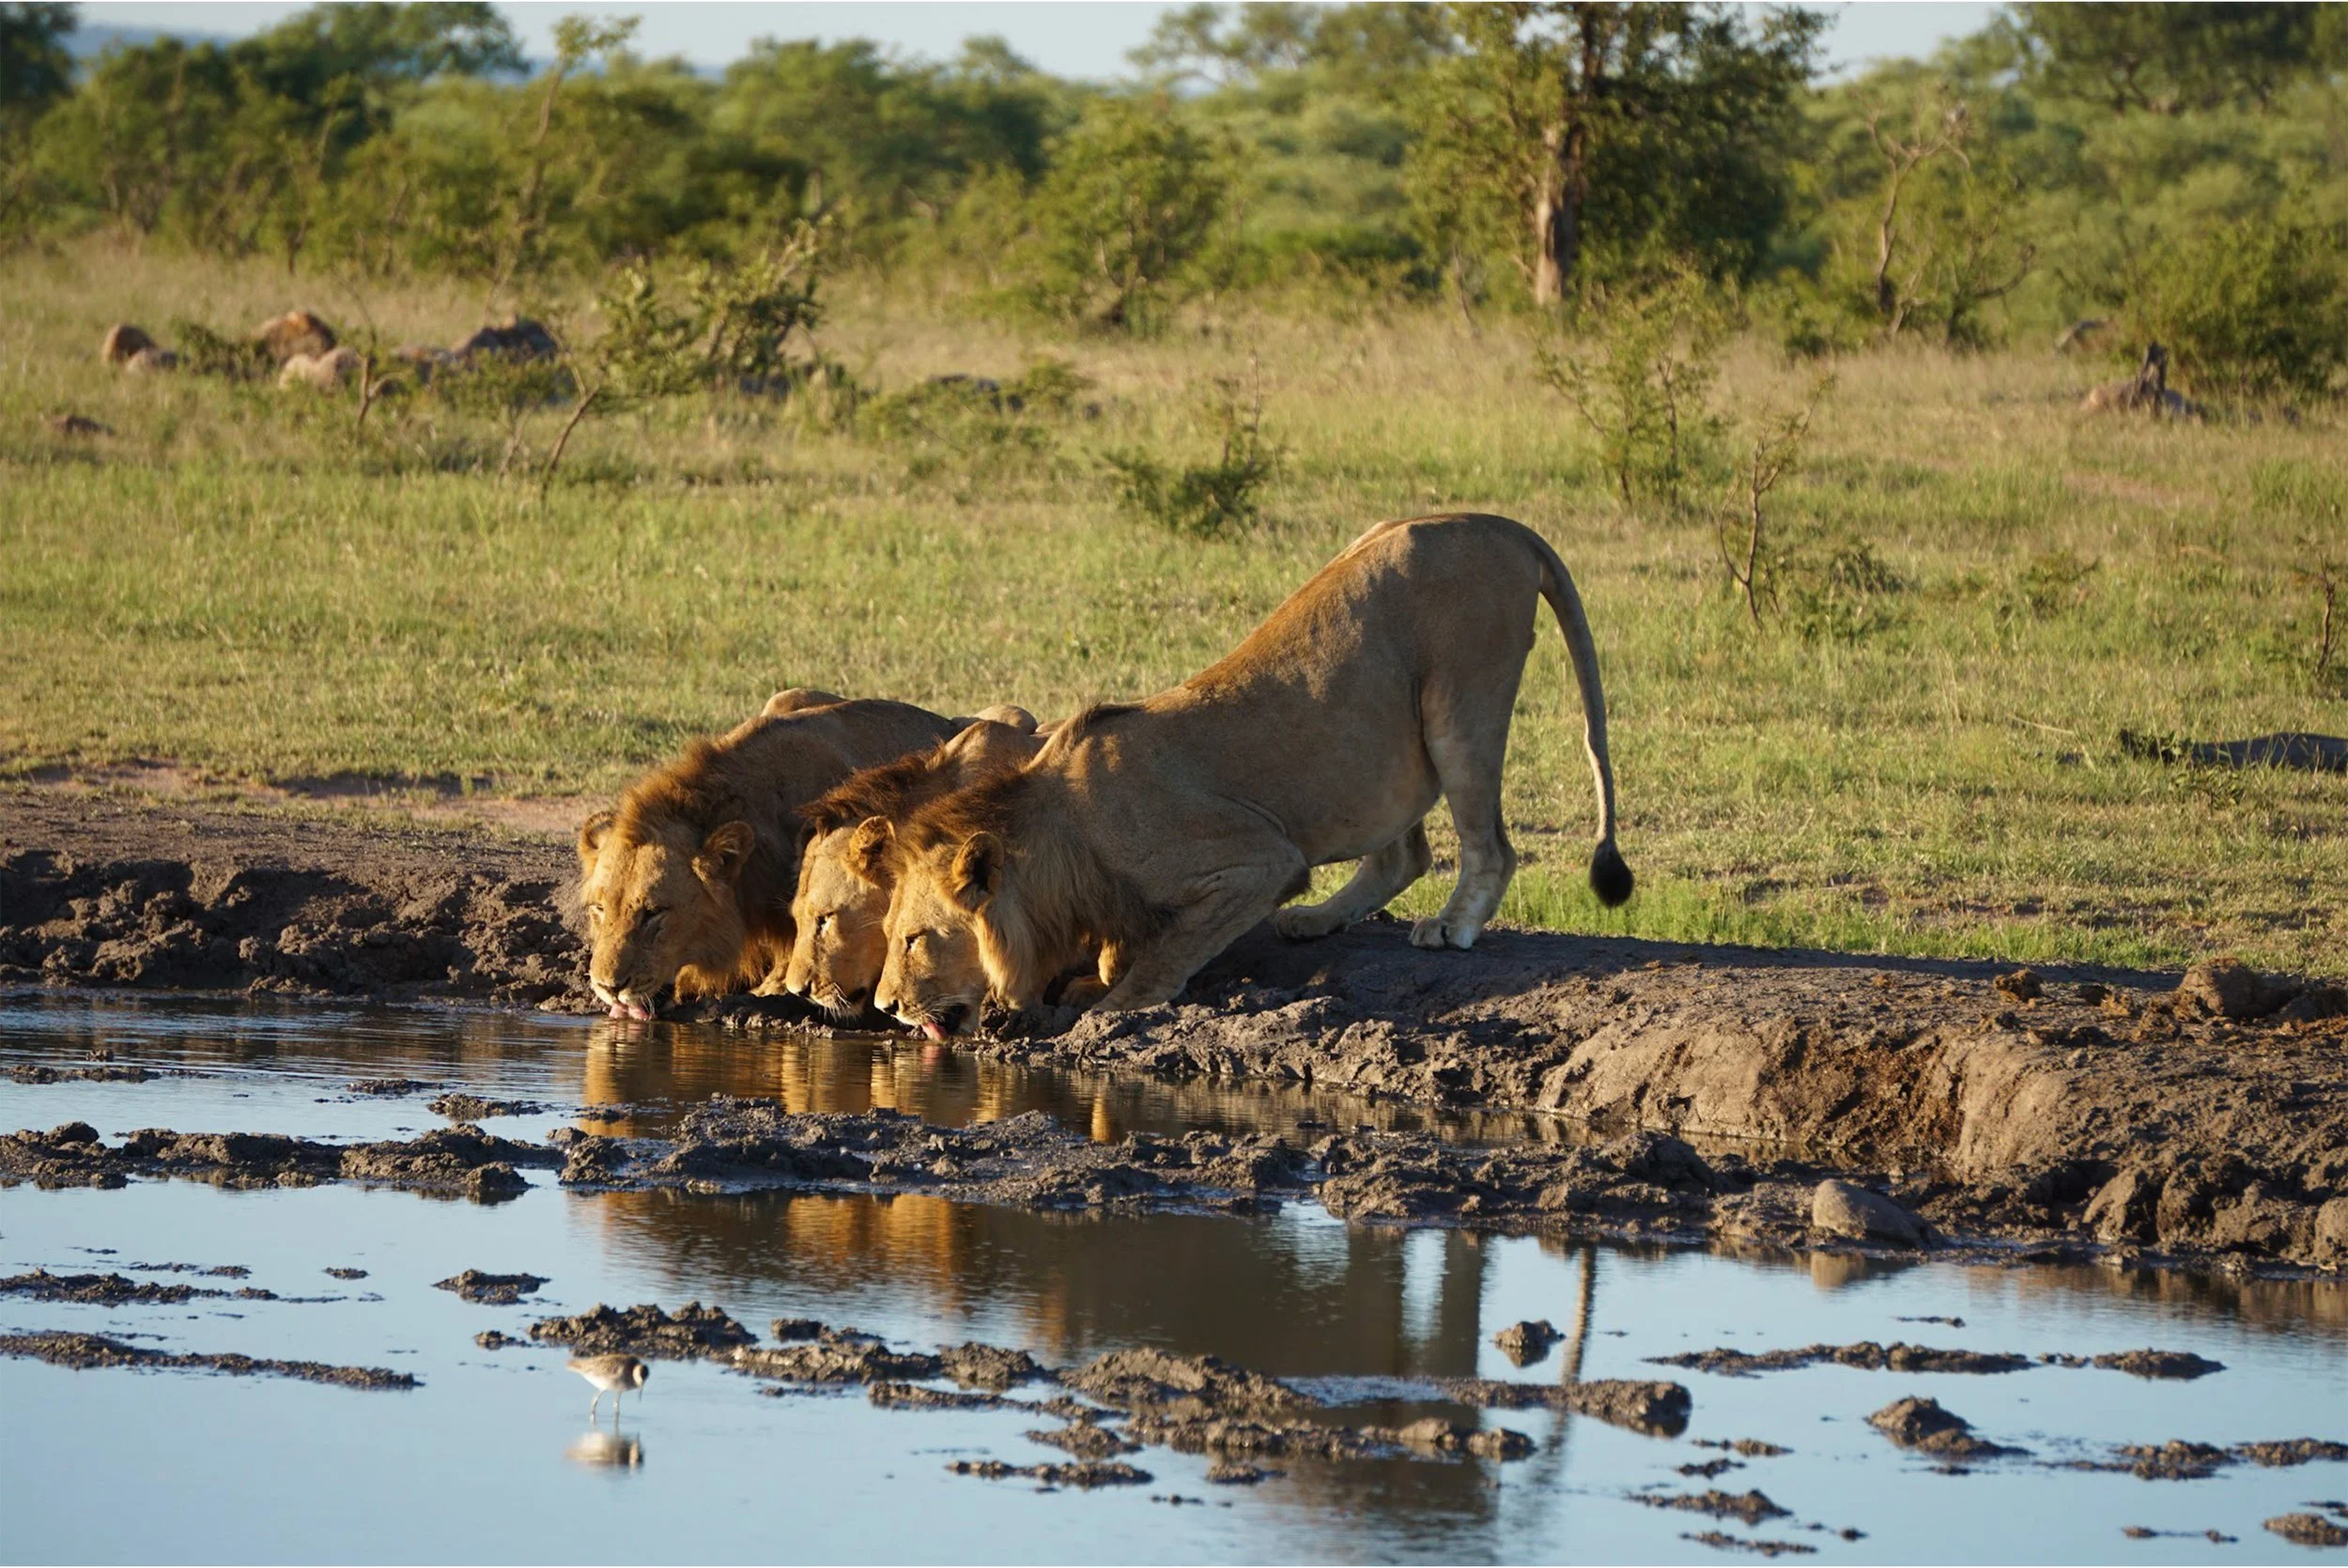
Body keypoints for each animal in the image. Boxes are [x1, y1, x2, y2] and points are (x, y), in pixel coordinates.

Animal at [869, 514, 1630, 1034]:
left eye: (913, 938)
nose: (886, 1005)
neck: (1064, 837)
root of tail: (1498, 522)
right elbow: (1127, 945)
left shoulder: (1258, 859)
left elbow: (1165, 953)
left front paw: (1117, 1004)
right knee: (1403, 852)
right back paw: (1319, 919)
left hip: (1462, 702)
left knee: (1490, 846)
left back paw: (1450, 926)